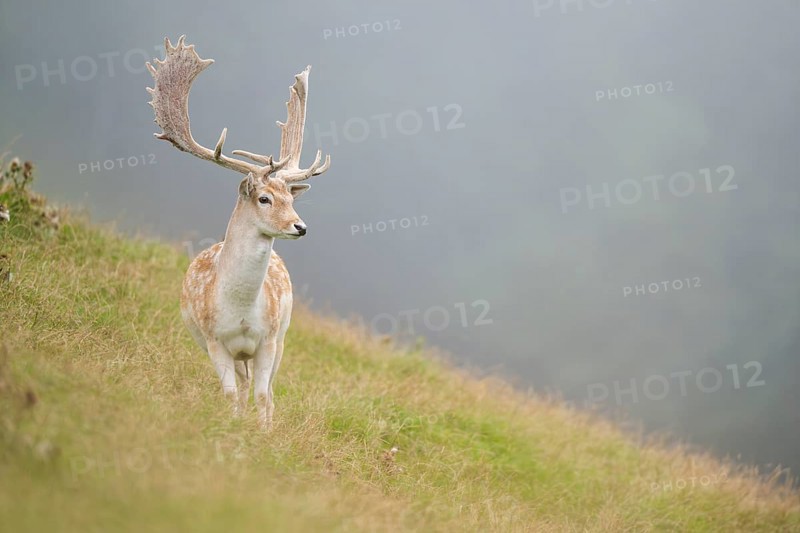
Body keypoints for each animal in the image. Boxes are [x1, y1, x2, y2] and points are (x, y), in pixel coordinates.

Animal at [146, 36, 330, 429]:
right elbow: (231, 393)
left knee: (266, 390)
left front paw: (264, 434)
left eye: (289, 199)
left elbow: (264, 395)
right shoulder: (215, 341)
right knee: (242, 385)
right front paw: (232, 428)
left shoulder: (268, 339)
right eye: (264, 198)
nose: (300, 227)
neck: (241, 310)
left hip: (282, 338)